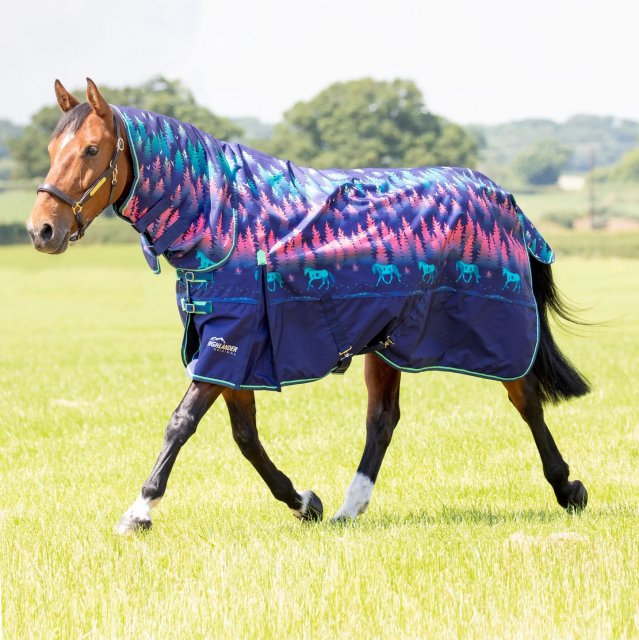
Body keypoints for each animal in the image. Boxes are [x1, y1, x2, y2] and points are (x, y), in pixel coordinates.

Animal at [27, 79, 590, 535]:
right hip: (388, 342)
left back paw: (568, 488)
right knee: (383, 420)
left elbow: (181, 423)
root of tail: (504, 198)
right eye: (53, 147)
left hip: (498, 333)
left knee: (526, 400)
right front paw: (304, 502)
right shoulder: (231, 349)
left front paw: (139, 511)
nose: (41, 230)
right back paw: (348, 508)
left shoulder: (228, 343)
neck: (221, 220)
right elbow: (245, 437)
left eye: (92, 149)